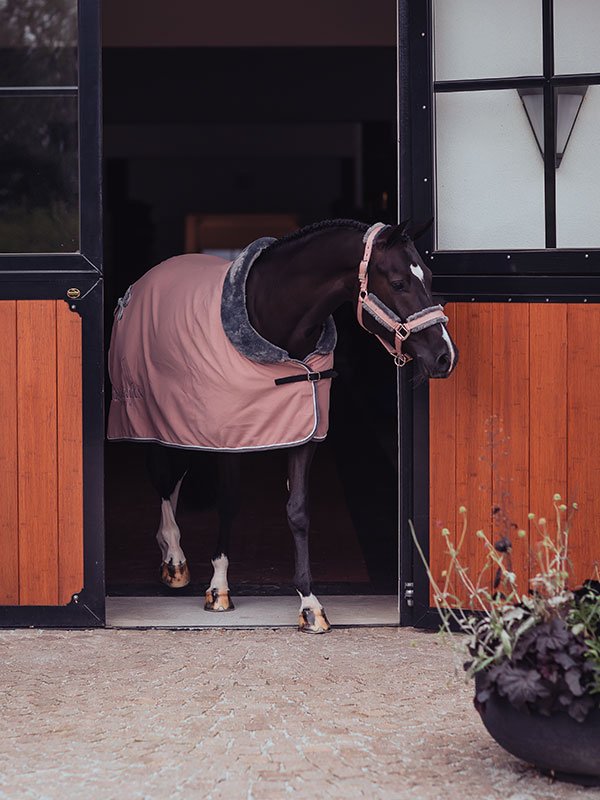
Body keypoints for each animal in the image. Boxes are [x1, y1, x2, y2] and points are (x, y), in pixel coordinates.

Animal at [107, 219, 458, 633]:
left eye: (430, 277)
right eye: (400, 283)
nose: (445, 356)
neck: (272, 318)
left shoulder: (305, 433)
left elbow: (298, 510)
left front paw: (310, 605)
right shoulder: (230, 438)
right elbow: (229, 503)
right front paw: (219, 589)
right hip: (155, 419)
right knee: (164, 479)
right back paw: (174, 559)